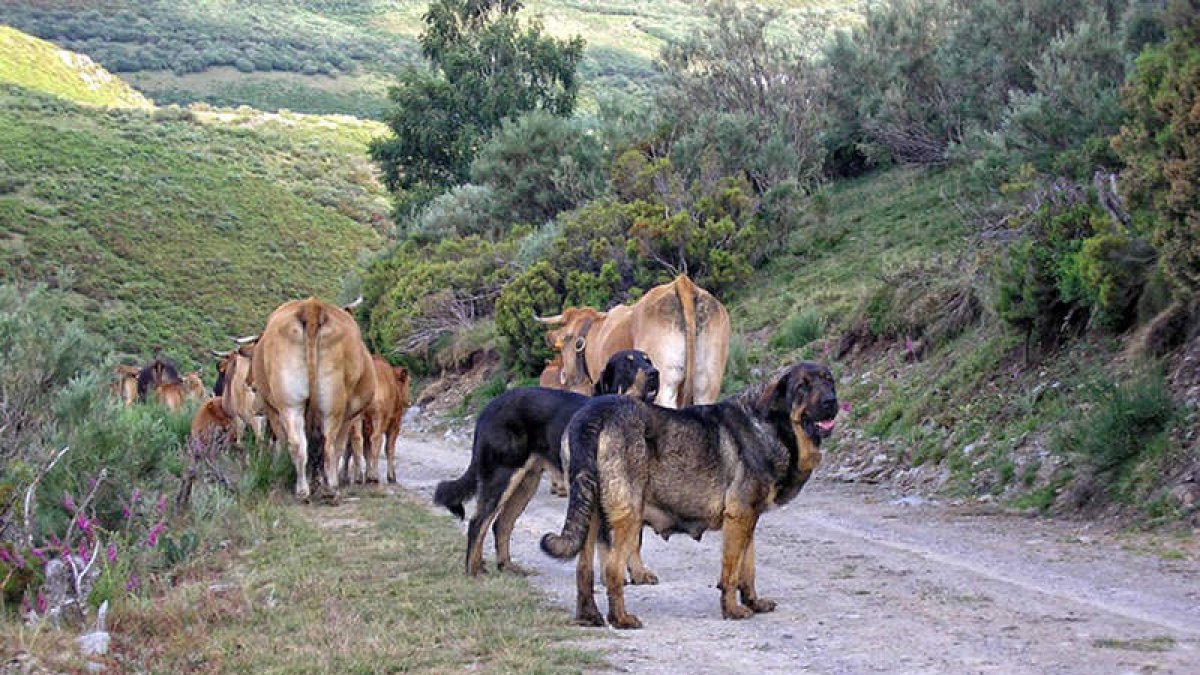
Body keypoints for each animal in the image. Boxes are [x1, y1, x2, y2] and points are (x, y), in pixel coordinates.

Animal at [249, 297, 376, 501]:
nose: (252, 386)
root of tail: (312, 306)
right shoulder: (350, 415)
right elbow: (339, 446)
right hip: (332, 406)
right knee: (329, 445)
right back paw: (331, 488)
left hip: (290, 403)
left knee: (297, 444)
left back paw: (303, 489)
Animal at [343, 356, 411, 485]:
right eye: (409, 382)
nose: (409, 401)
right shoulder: (395, 424)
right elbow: (389, 448)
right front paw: (391, 476)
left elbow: (366, 451)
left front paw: (366, 474)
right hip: (378, 416)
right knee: (376, 439)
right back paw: (374, 477)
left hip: (357, 418)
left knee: (356, 440)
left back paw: (357, 476)